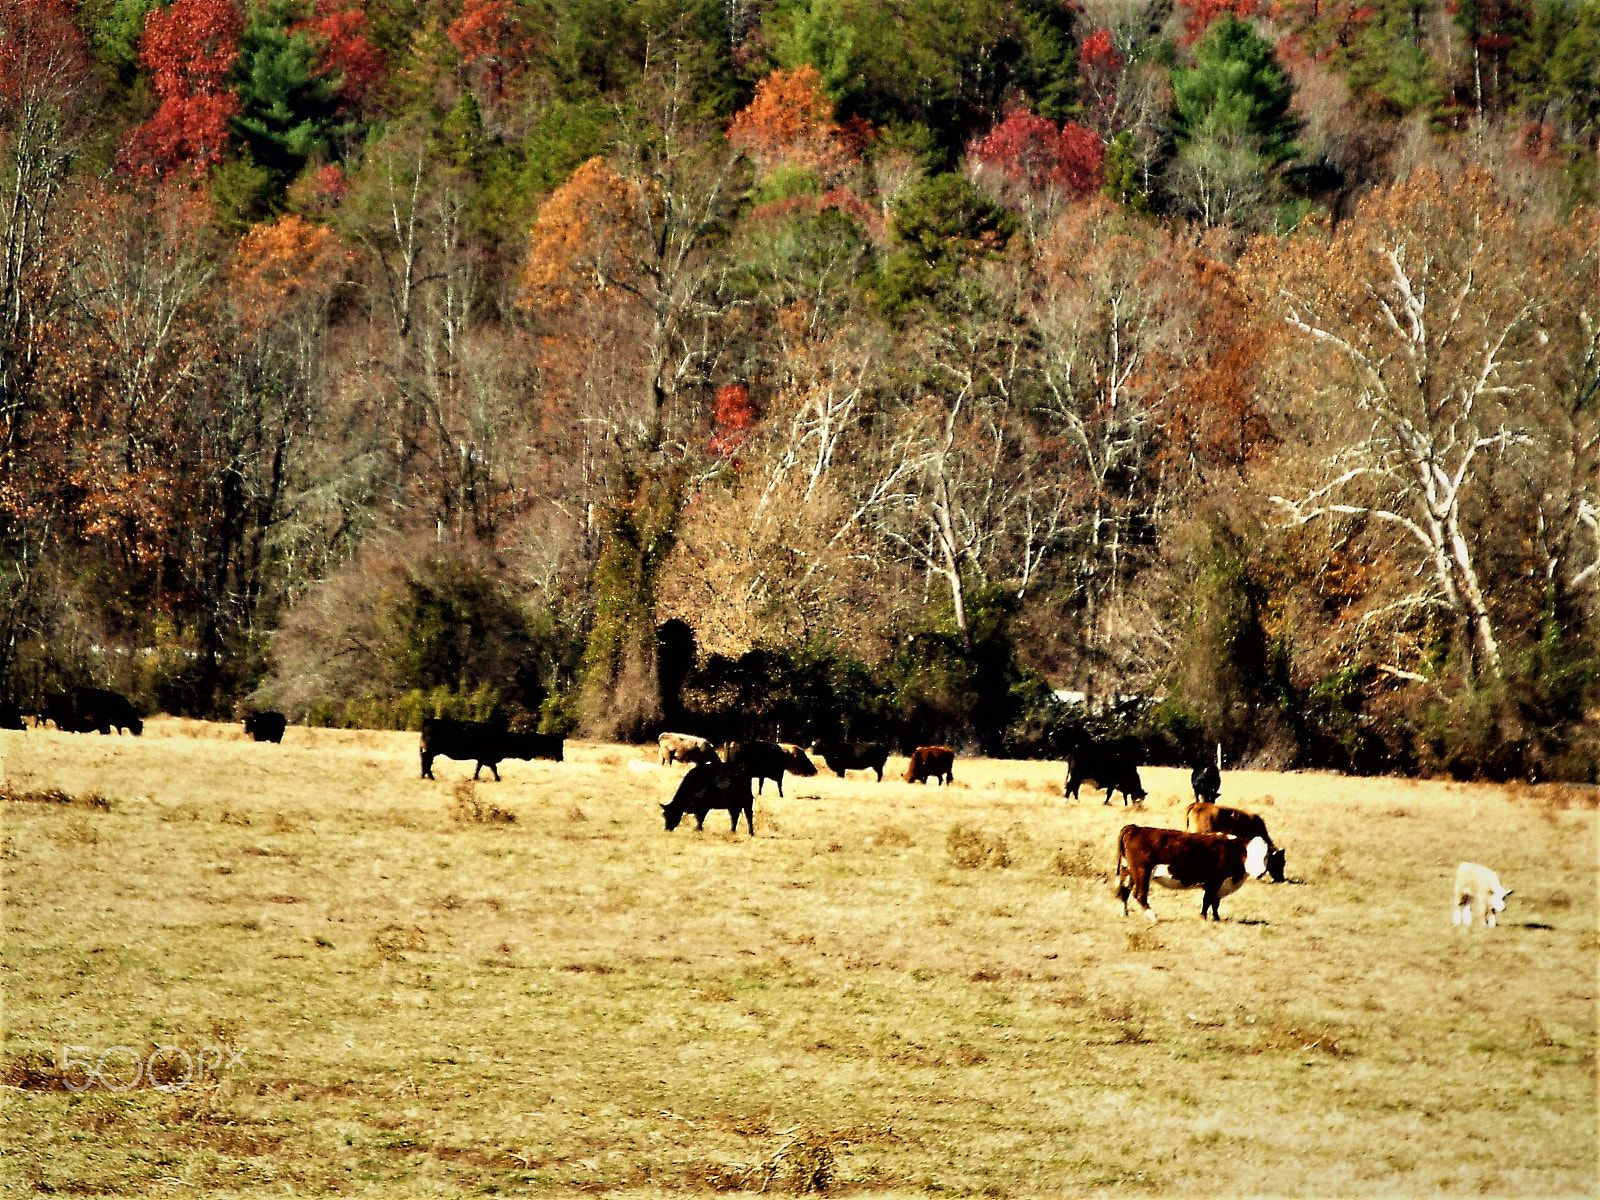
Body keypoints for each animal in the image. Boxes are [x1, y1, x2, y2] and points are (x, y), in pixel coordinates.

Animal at [419, 720, 563, 784]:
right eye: (557, 745)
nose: (561, 758)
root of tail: (428, 721)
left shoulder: (482, 758)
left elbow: (478, 768)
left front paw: (475, 777)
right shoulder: (488, 757)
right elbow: (494, 768)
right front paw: (497, 778)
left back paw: (425, 775)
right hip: (430, 751)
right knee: (426, 762)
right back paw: (428, 776)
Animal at [1107, 832, 1267, 928]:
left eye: (1265, 856)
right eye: (1249, 853)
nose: (1260, 872)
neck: (1230, 849)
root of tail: (1134, 828)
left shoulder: (1218, 884)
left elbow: (1215, 902)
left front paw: (1216, 918)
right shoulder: (1215, 881)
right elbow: (1208, 900)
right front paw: (1203, 917)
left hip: (1127, 871)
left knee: (1124, 892)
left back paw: (1124, 914)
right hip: (1142, 873)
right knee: (1139, 895)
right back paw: (1153, 917)